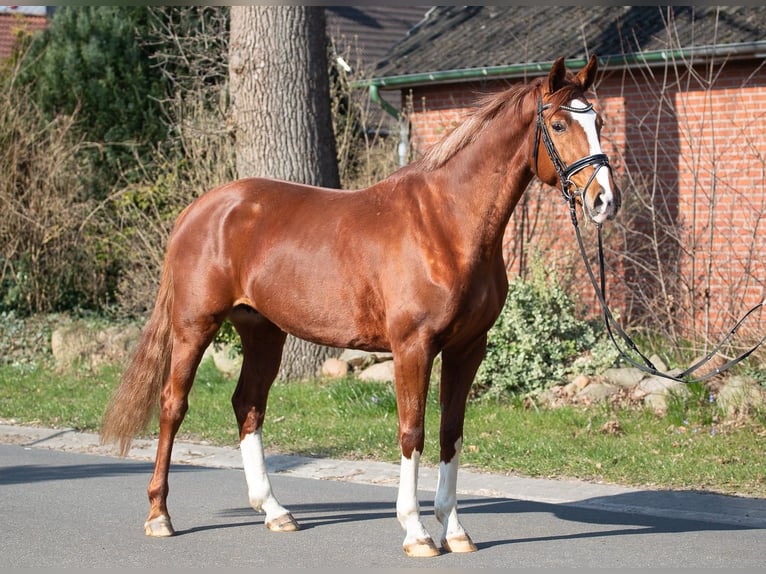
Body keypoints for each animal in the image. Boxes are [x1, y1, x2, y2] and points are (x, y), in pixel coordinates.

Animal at [102, 57, 620, 560]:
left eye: (598, 119)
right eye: (558, 124)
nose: (604, 201)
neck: (447, 223)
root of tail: (200, 210)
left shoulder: (468, 348)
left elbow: (450, 434)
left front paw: (455, 531)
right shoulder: (413, 347)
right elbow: (412, 432)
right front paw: (416, 533)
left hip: (263, 330)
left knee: (248, 405)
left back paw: (275, 511)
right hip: (194, 326)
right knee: (173, 405)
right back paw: (160, 516)